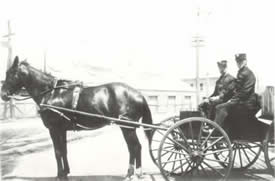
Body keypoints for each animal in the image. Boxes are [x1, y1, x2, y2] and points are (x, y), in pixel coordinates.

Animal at [0, 56, 153, 180]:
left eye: (10, 74)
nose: (3, 94)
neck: (52, 93)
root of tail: (139, 94)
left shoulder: (54, 129)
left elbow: (57, 152)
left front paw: (60, 175)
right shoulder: (62, 130)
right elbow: (64, 150)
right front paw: (65, 172)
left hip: (127, 127)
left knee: (135, 147)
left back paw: (133, 173)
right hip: (127, 127)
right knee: (133, 148)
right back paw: (133, 173)